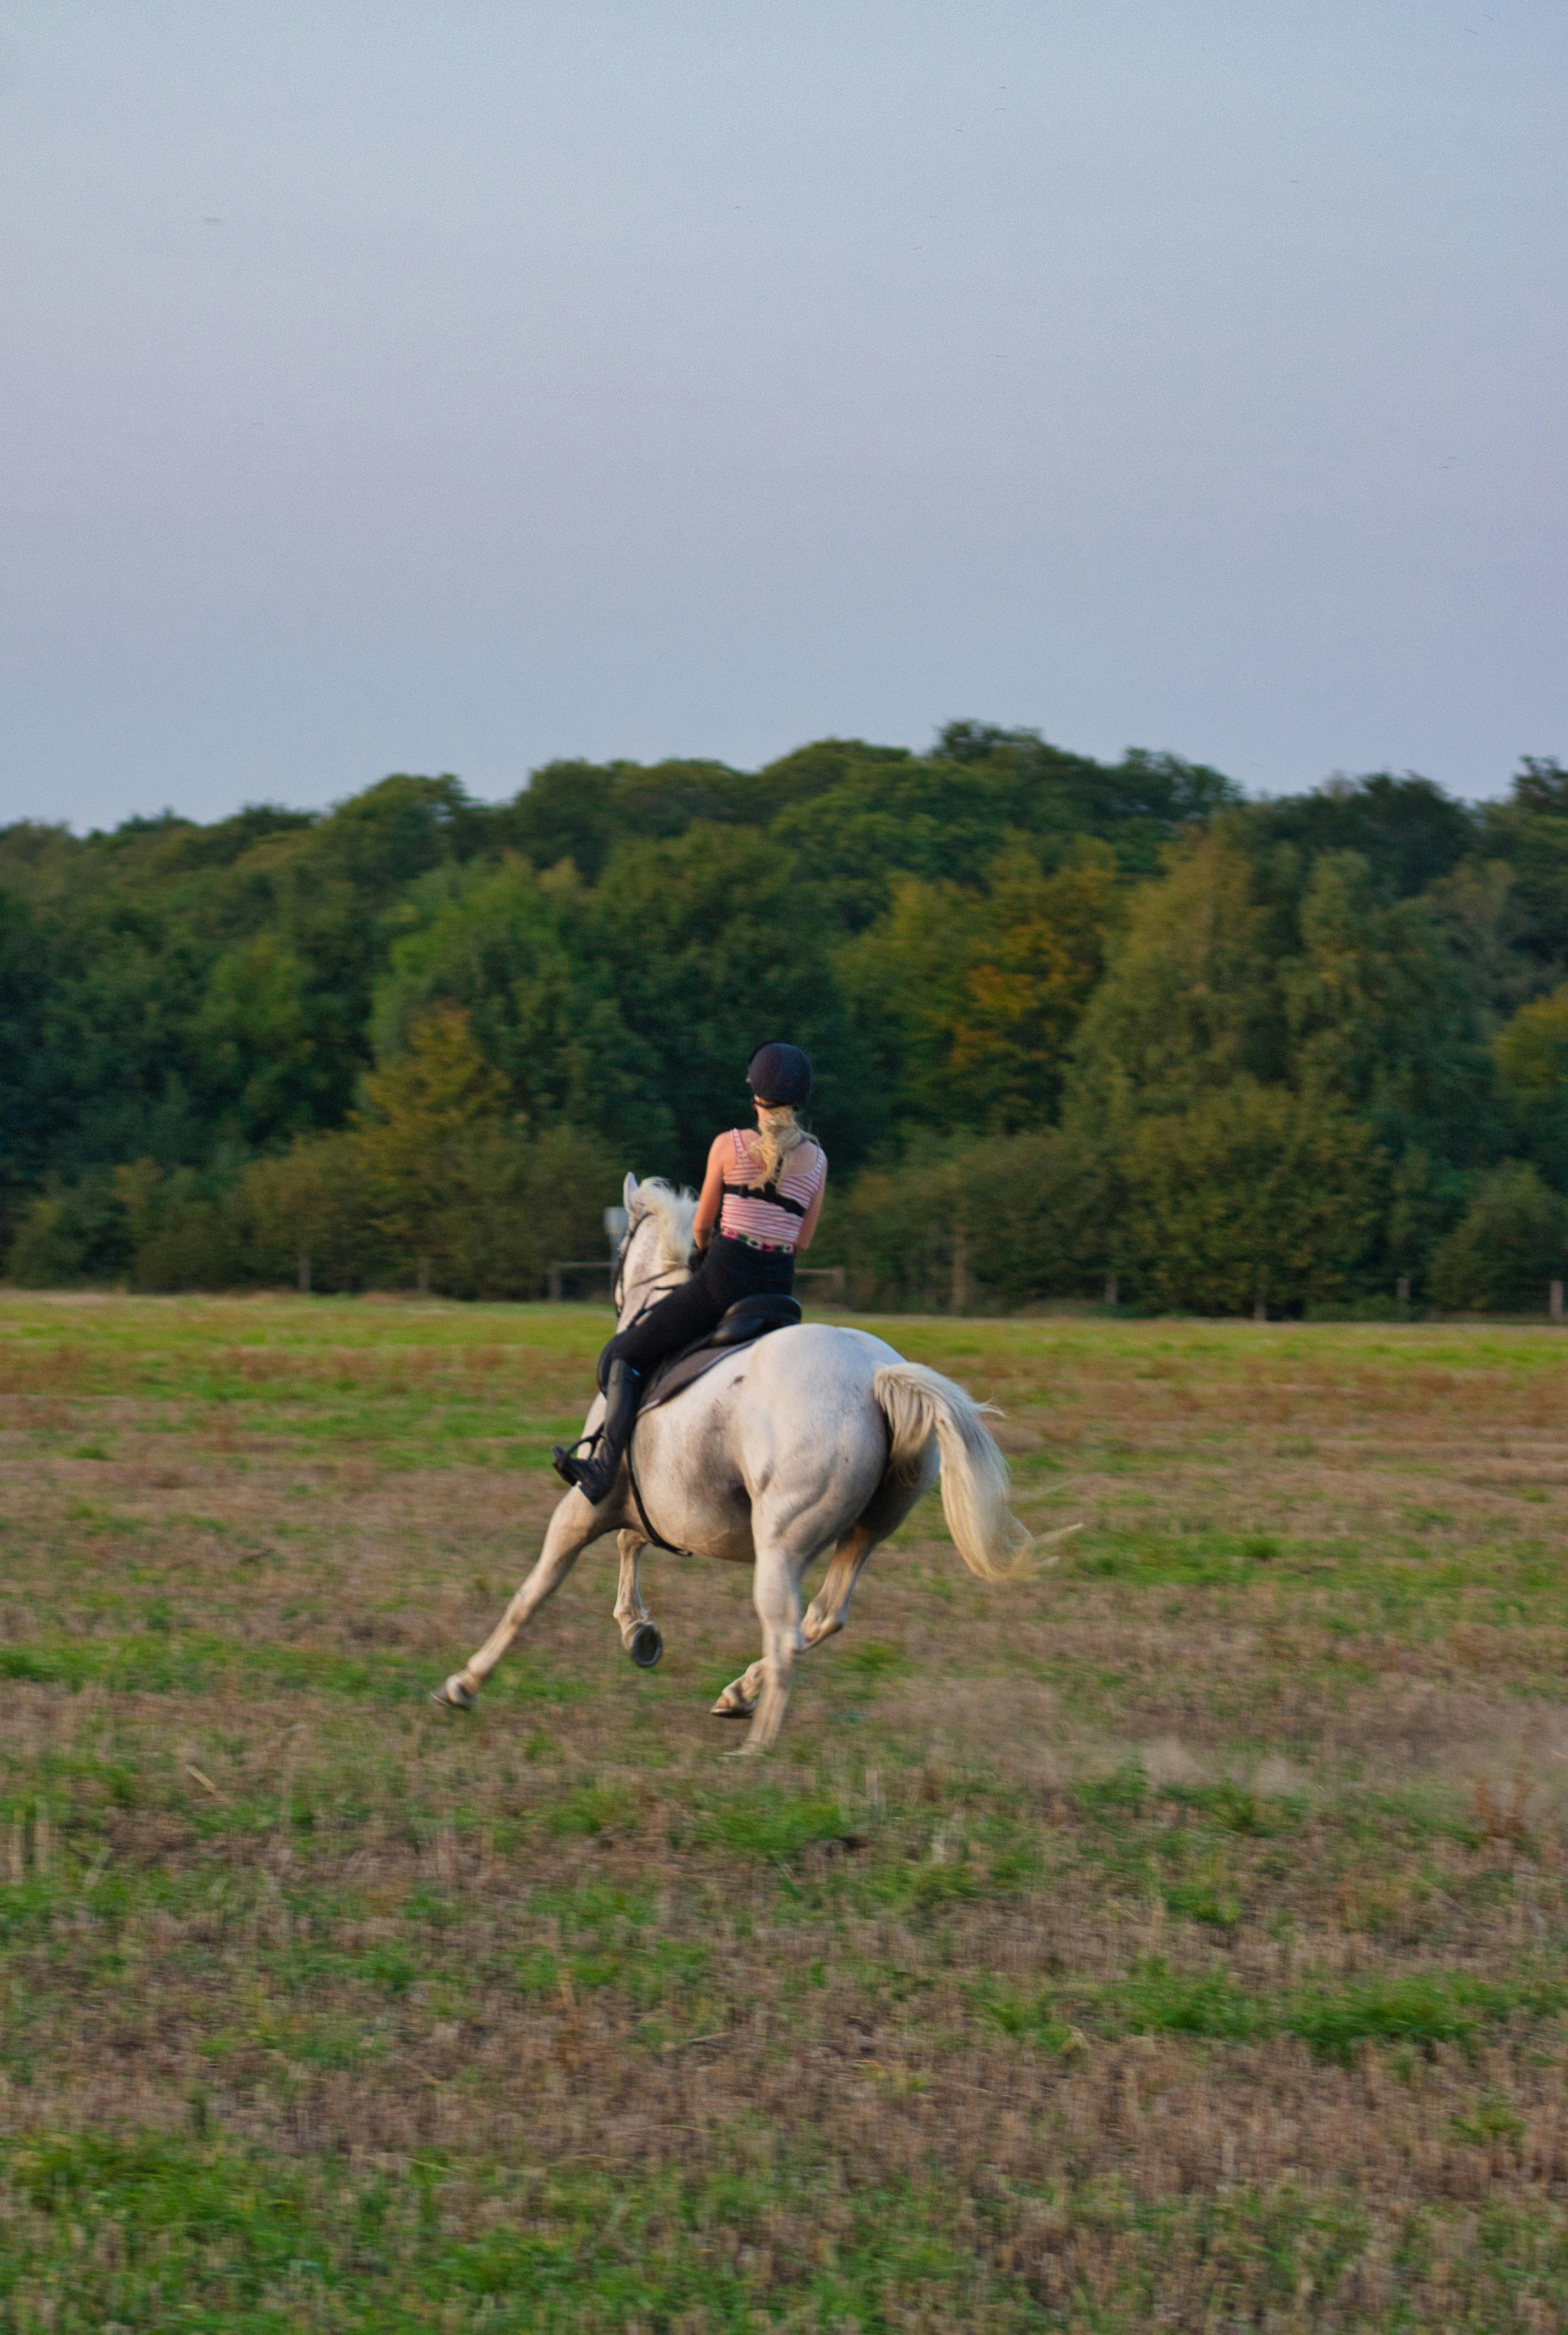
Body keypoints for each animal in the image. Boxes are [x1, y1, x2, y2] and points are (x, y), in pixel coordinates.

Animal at [434, 1168, 1036, 1756]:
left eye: (621, 1246)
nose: (615, 1297)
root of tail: (874, 1375)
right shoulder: (655, 1502)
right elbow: (631, 1542)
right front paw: (639, 1632)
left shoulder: (587, 1504)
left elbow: (533, 1592)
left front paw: (465, 1683)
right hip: (867, 1530)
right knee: (821, 1619)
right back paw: (739, 1694)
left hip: (781, 1544)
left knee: (786, 1635)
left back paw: (755, 1750)